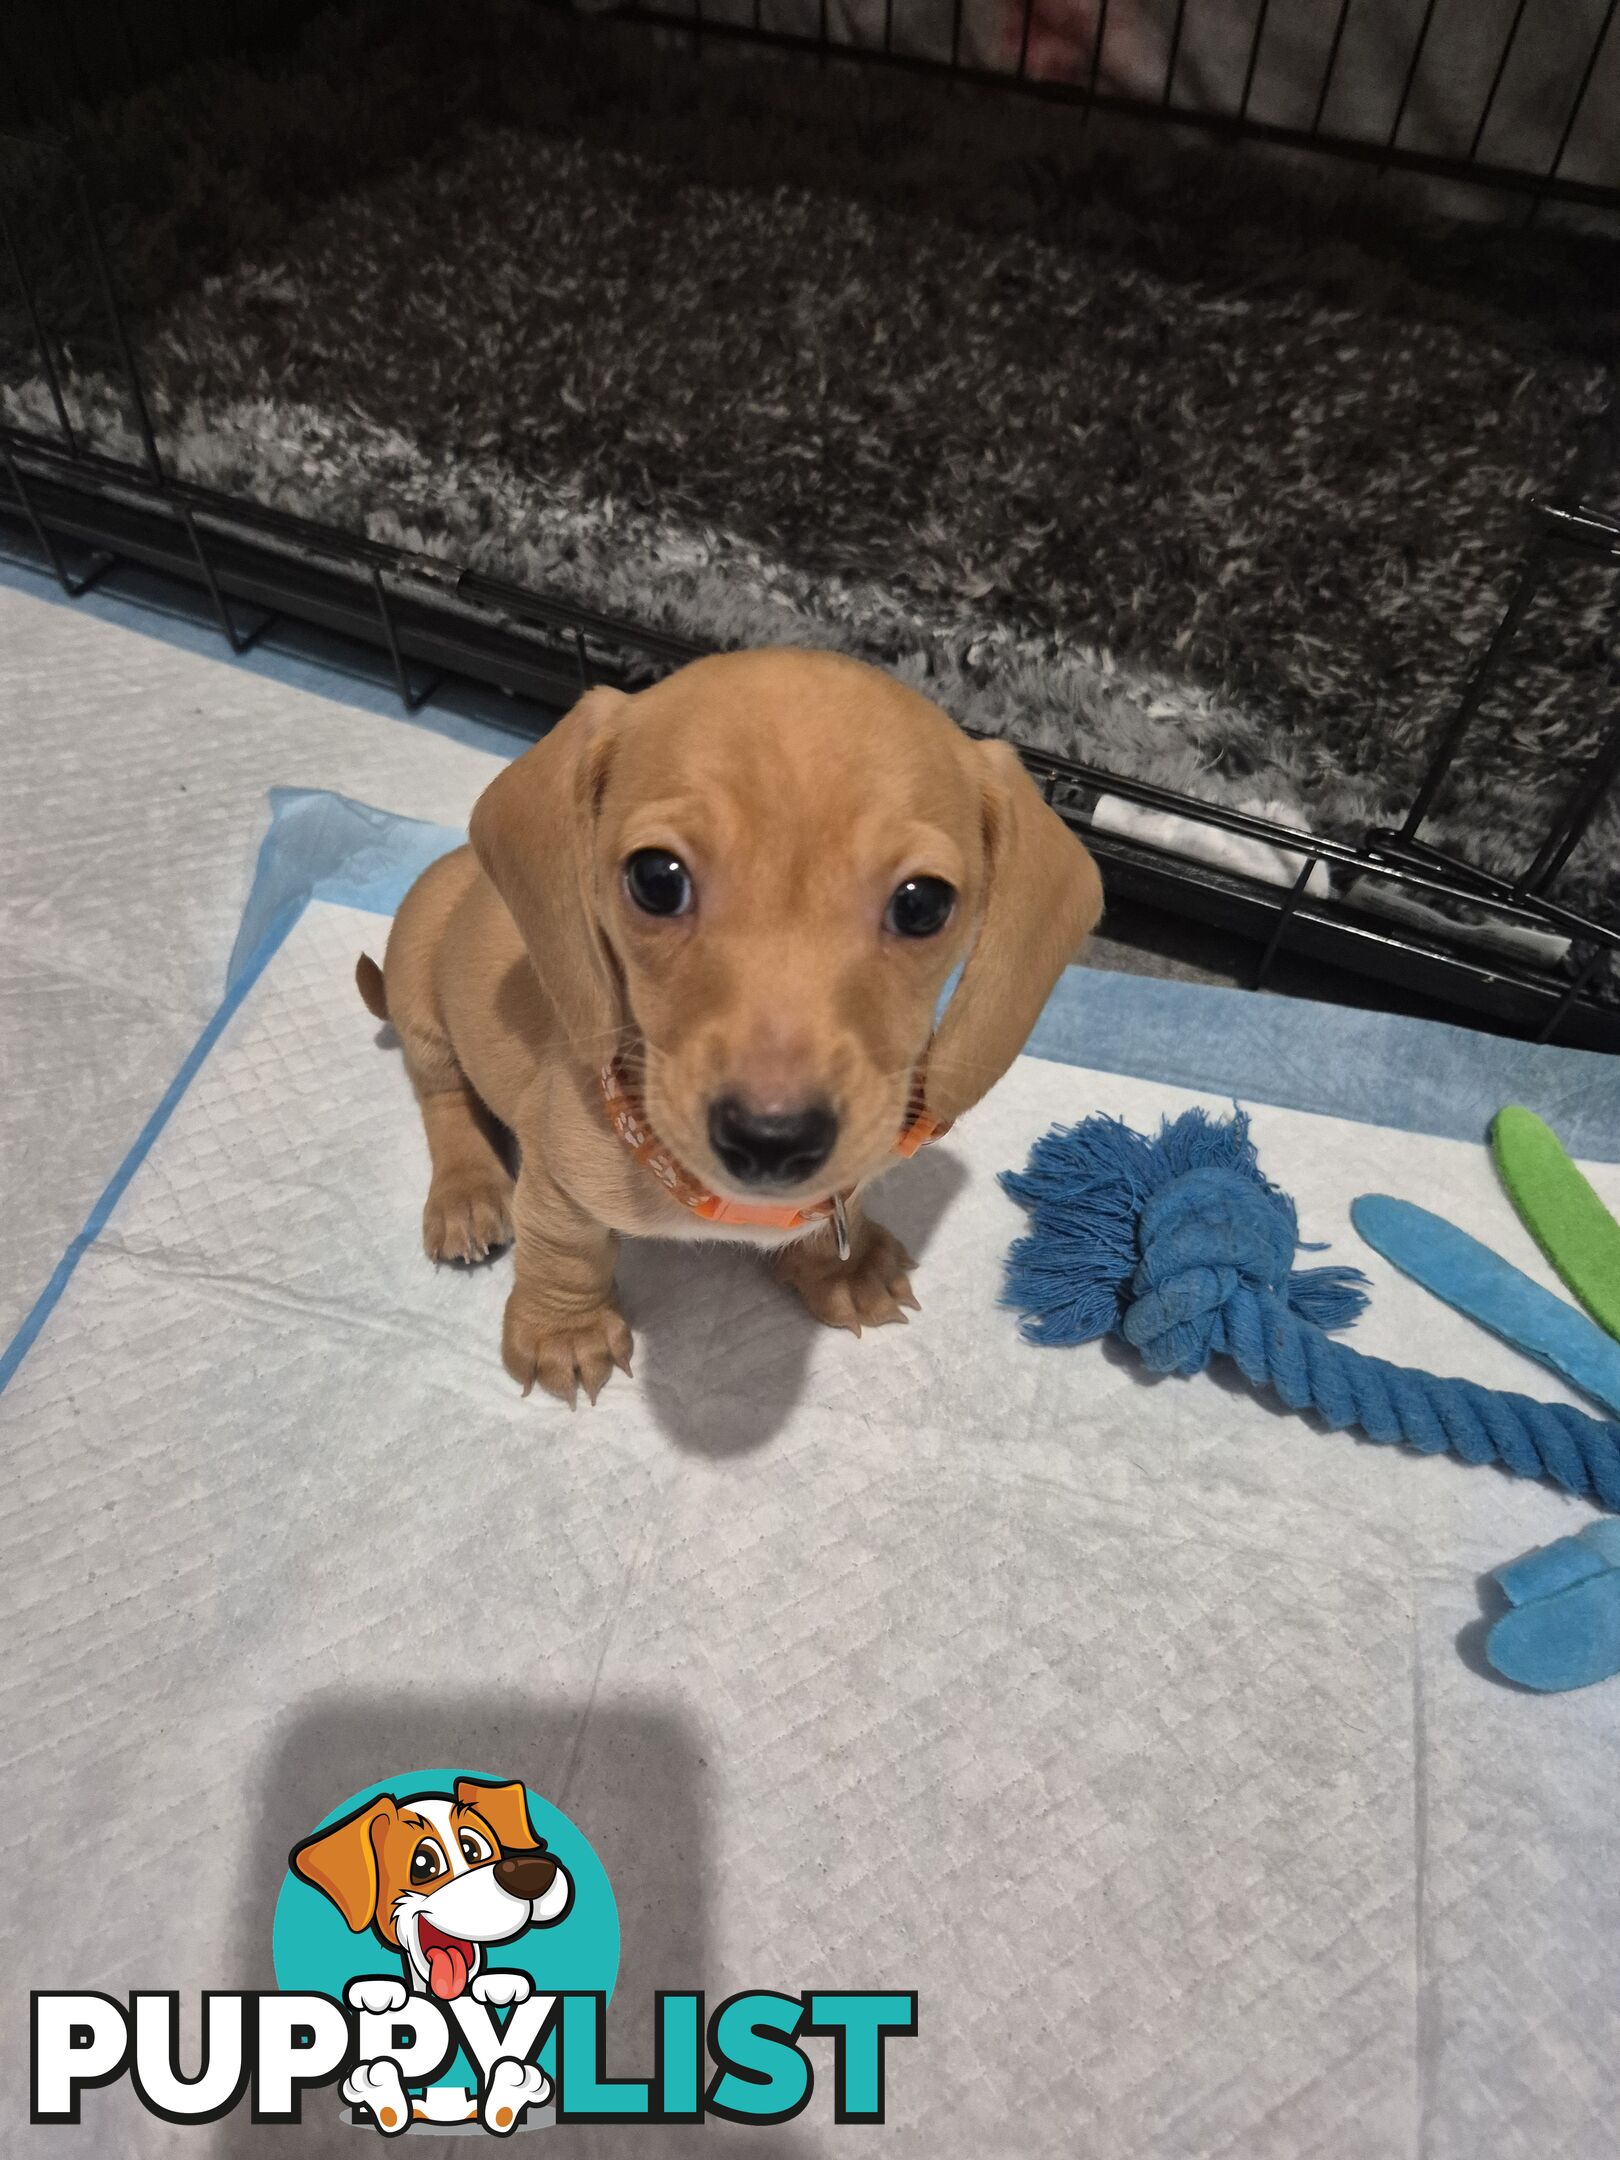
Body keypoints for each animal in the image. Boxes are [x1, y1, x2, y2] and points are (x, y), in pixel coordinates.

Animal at [360, 648, 1105, 1408]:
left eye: (923, 904)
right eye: (657, 879)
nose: (771, 1141)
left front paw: (845, 1265)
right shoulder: (557, 1180)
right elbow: (565, 1251)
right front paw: (564, 1330)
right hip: (420, 988)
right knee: (442, 1098)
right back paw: (466, 1192)